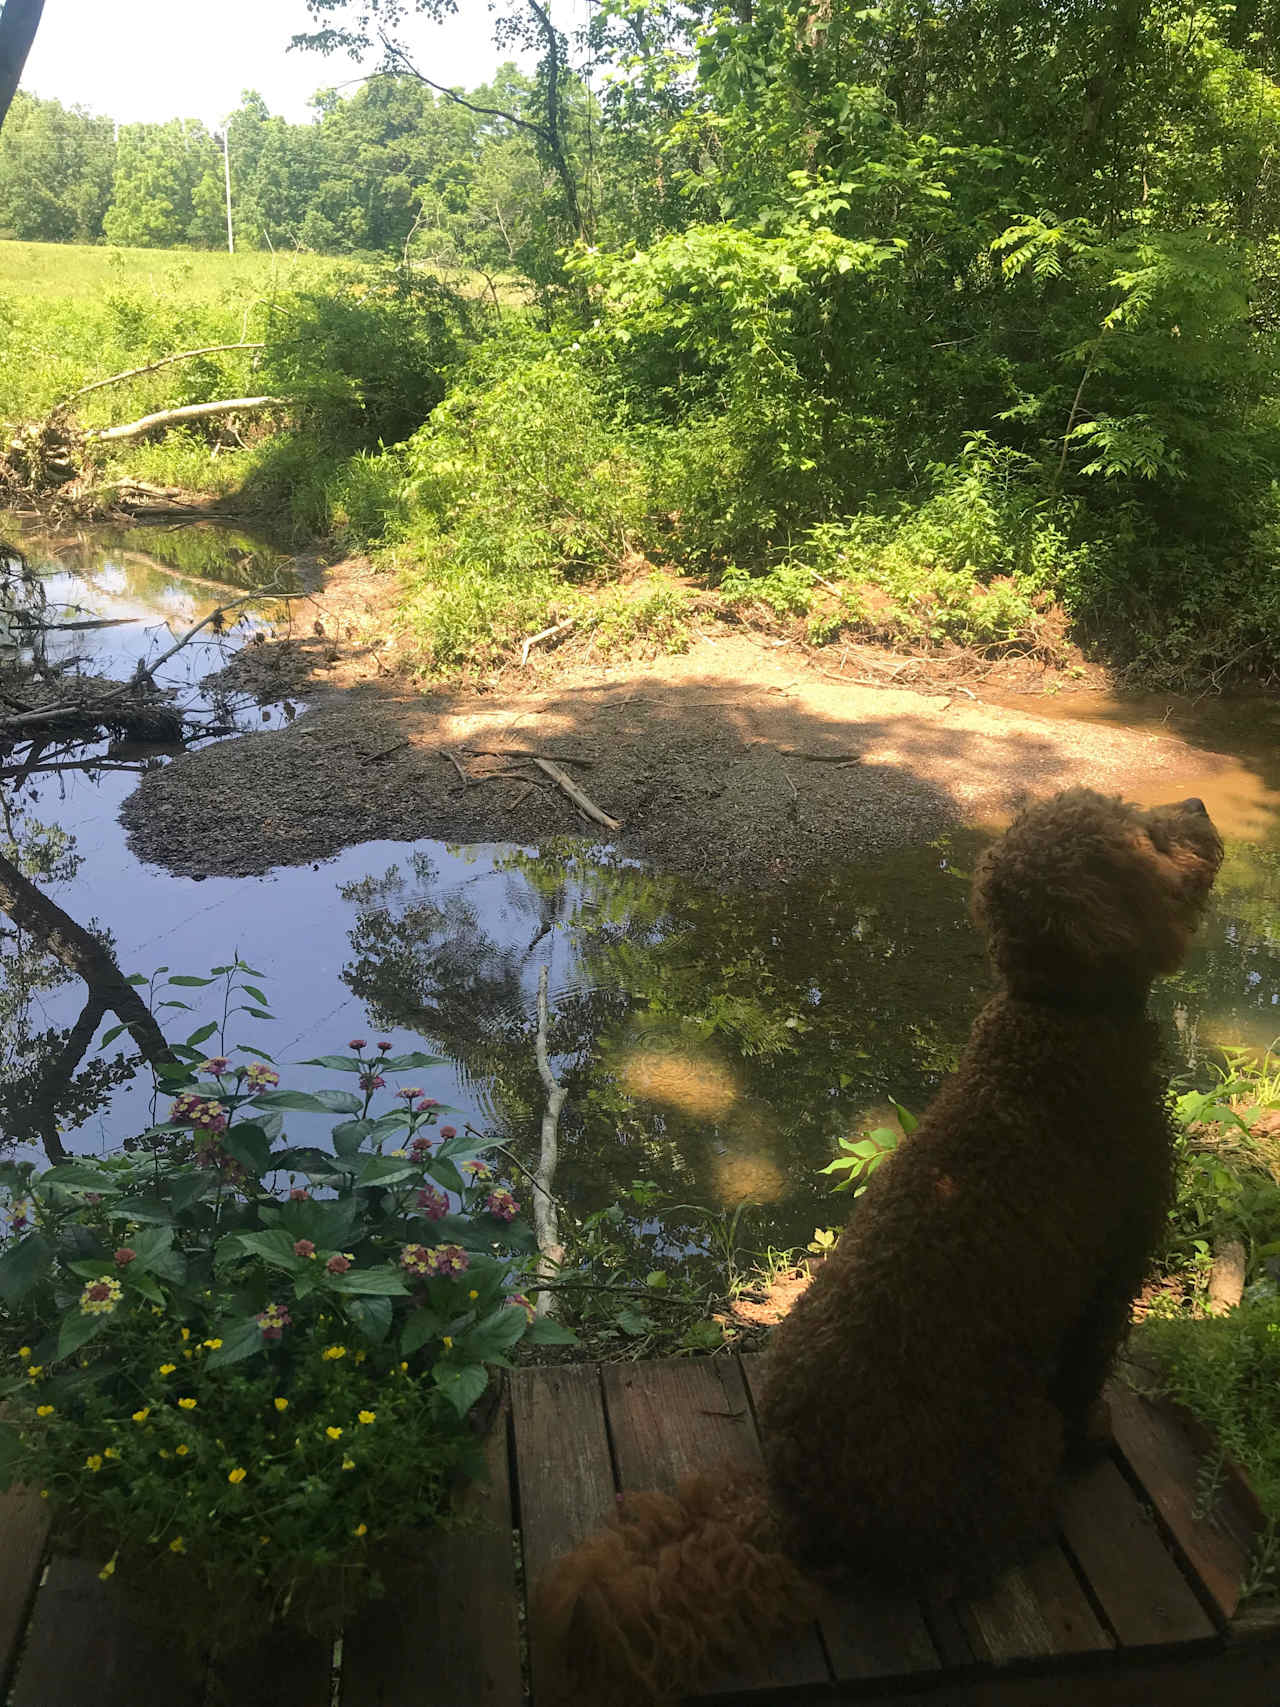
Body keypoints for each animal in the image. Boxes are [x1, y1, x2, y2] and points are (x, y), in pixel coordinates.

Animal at [535, 792, 1228, 1700]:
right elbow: (1088, 1374)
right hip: (1015, 1435)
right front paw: (1098, 1436)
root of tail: (797, 1504)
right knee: (976, 1539)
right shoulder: (1111, 1272)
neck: (1055, 1020)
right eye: (1141, 834)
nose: (1198, 804)